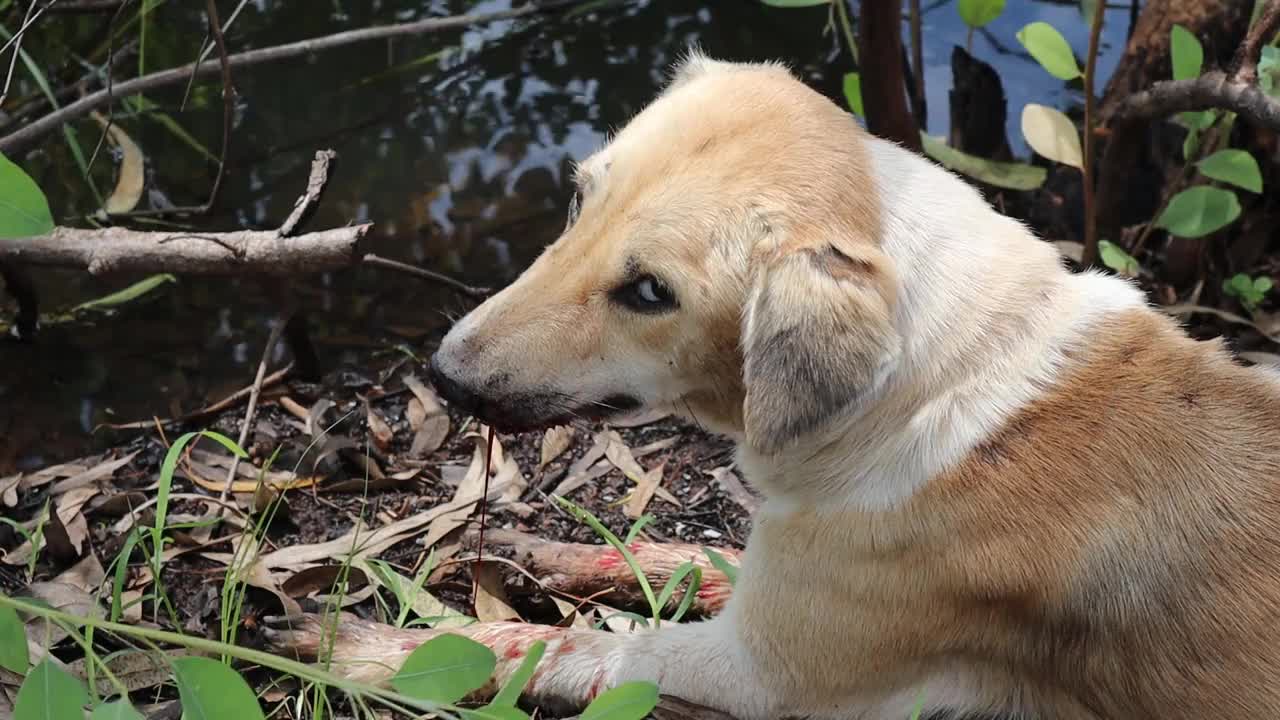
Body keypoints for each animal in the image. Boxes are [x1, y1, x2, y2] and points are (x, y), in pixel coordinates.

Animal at [384, 51, 1280, 717]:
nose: (443, 375)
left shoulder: (755, 670)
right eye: (577, 200)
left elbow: (550, 648)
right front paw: (557, 554)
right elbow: (702, 560)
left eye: (649, 292)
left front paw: (370, 653)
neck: (936, 386)